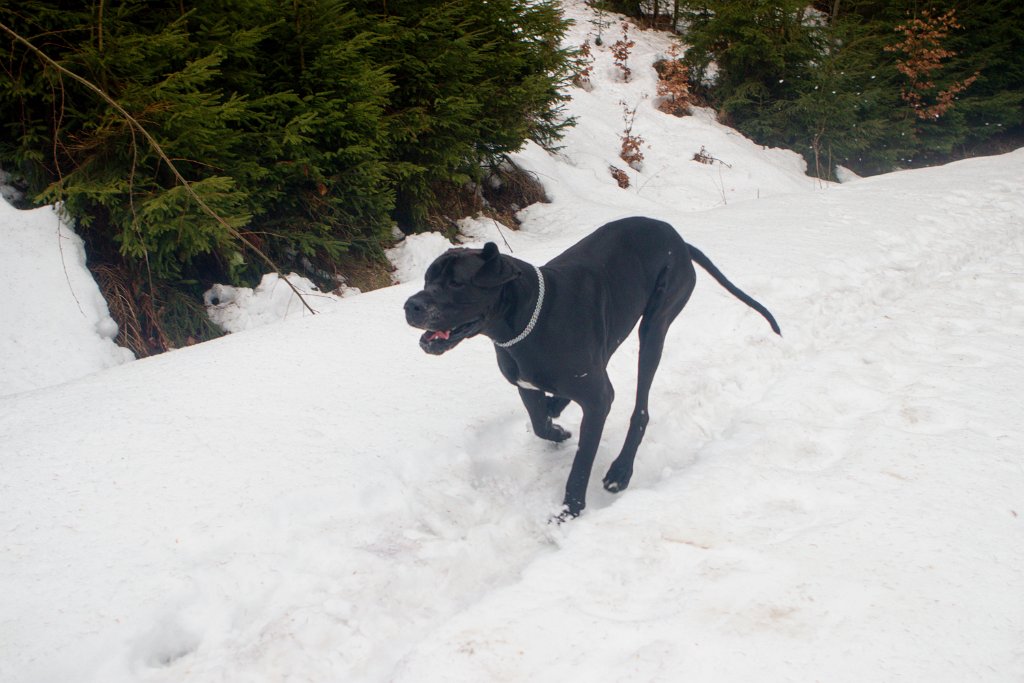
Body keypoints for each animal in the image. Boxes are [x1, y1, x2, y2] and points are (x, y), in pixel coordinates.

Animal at [403, 216, 778, 520]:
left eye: (457, 283)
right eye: (427, 279)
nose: (410, 305)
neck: (524, 321)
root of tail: (680, 242)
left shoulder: (597, 401)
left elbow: (581, 464)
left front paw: (569, 511)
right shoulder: (526, 385)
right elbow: (540, 423)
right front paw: (557, 428)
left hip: (655, 326)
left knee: (641, 409)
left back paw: (621, 471)